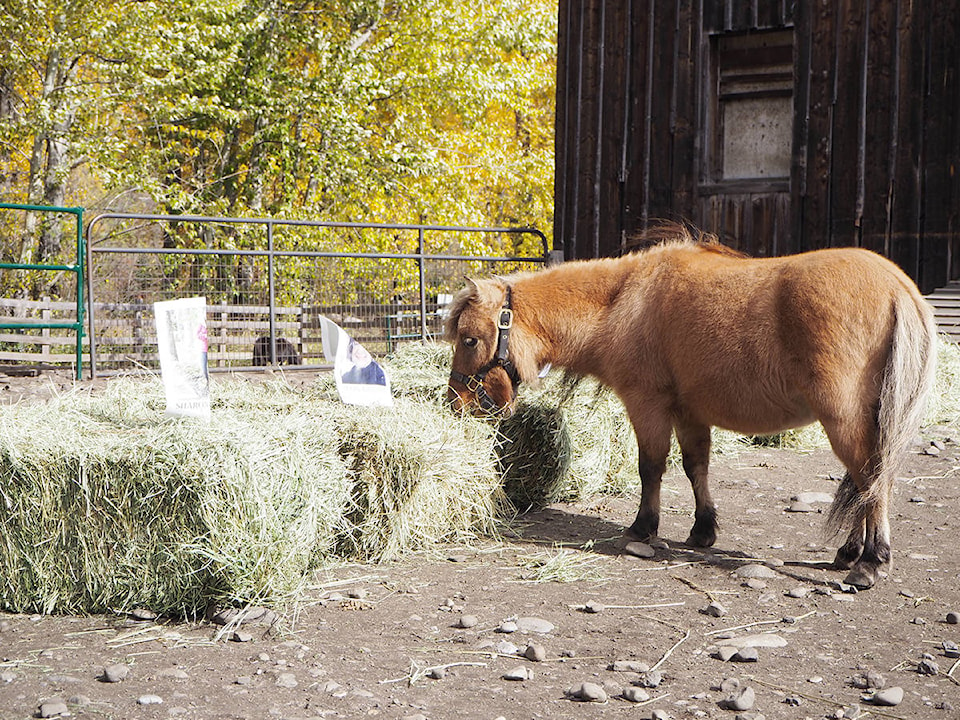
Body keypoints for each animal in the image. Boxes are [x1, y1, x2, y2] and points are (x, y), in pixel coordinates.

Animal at [446, 225, 932, 592]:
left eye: (469, 339)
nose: (457, 403)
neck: (623, 300)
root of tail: (897, 288)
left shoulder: (648, 405)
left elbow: (651, 468)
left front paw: (643, 528)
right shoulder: (688, 413)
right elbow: (696, 467)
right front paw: (703, 529)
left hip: (845, 421)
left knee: (873, 481)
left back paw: (870, 562)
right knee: (867, 483)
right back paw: (850, 552)